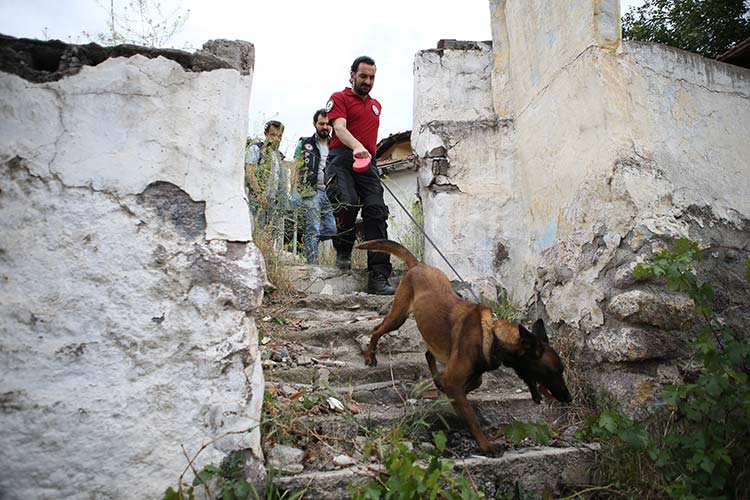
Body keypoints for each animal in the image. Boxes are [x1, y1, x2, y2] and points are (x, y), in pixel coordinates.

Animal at [356, 238, 572, 454]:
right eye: (554, 371)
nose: (569, 399)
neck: (494, 336)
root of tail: (418, 265)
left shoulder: (468, 375)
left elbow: (473, 384)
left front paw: (448, 394)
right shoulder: (454, 380)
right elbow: (472, 417)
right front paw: (486, 445)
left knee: (428, 354)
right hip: (398, 316)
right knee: (376, 329)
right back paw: (370, 356)